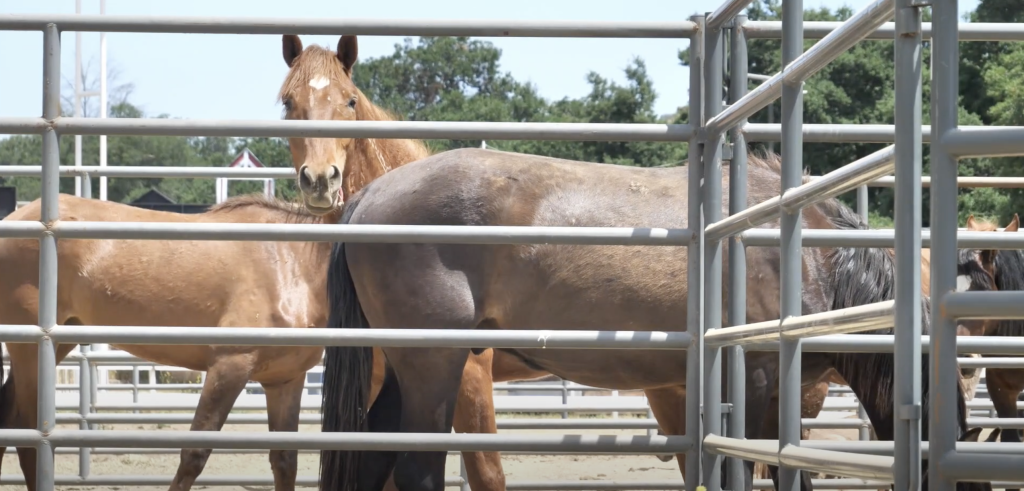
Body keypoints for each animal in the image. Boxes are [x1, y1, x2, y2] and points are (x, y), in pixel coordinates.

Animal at [314, 147, 988, 491]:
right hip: (434, 363)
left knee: (373, 457)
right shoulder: (760, 385)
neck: (809, 256)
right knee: (416, 466)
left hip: (404, 368)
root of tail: (369, 196)